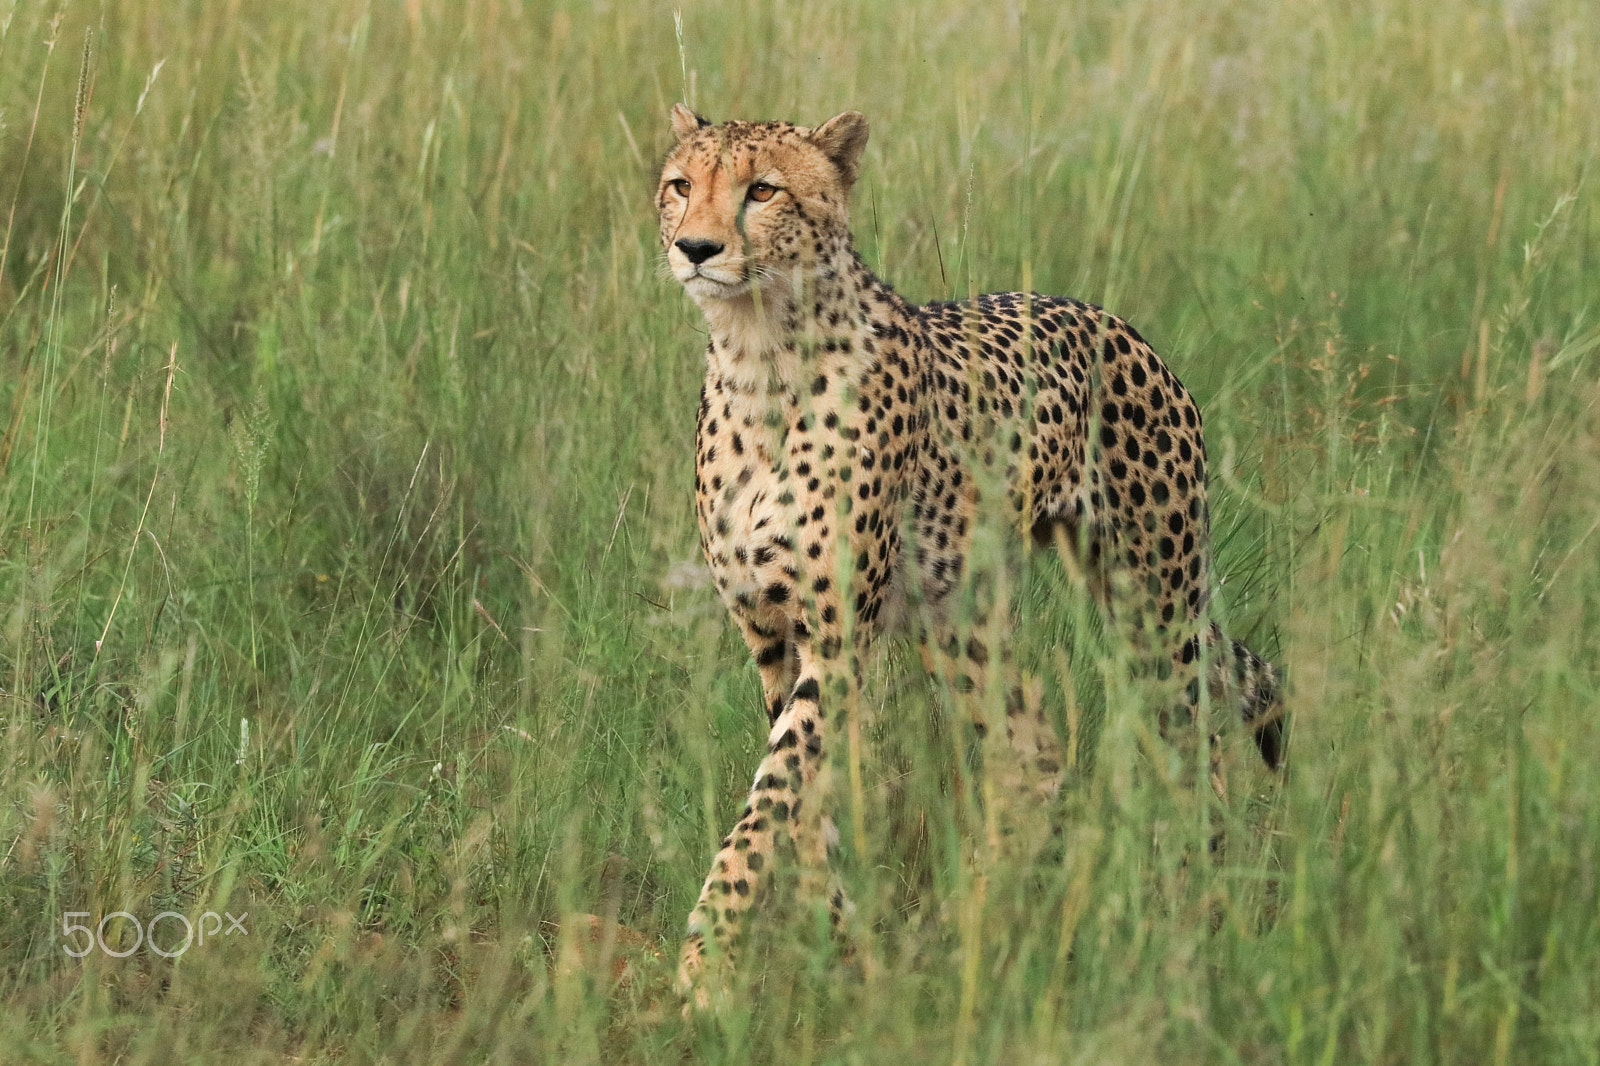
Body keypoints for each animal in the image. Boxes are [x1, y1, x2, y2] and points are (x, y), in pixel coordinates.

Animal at [657, 103, 1285, 1006]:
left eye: (763, 190)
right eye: (681, 184)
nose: (697, 248)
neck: (759, 353)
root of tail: (1112, 318)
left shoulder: (837, 637)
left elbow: (772, 798)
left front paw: (706, 960)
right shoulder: (774, 636)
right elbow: (801, 801)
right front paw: (838, 935)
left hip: (1152, 605)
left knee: (1194, 735)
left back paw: (1203, 896)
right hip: (961, 624)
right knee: (1035, 753)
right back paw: (993, 912)